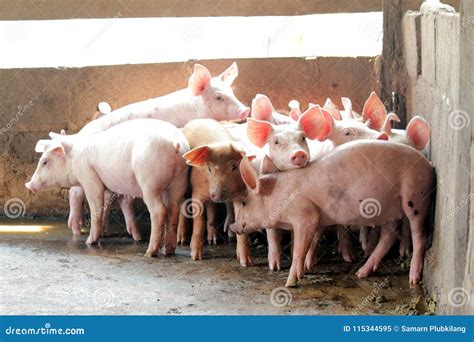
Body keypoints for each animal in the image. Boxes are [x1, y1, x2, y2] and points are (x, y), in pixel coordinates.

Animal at [25, 118, 189, 256]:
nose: (28, 185)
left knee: (159, 211)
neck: (73, 159)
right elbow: (116, 204)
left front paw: (89, 242)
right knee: (173, 209)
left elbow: (96, 208)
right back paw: (168, 251)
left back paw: (150, 252)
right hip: (180, 180)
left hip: (149, 181)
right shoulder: (113, 186)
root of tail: (175, 143)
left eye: (45, 162)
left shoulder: (89, 178)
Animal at [180, 119, 252, 266]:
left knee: (212, 209)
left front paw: (246, 263)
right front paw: (195, 257)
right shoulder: (197, 193)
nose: (218, 193)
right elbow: (199, 223)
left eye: (234, 166)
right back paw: (182, 241)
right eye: (209, 167)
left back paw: (213, 241)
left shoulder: (239, 194)